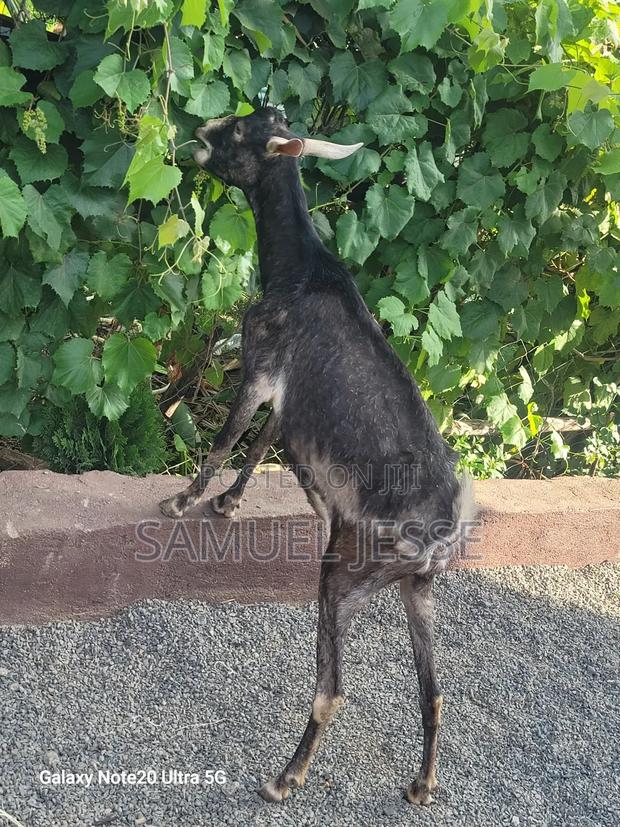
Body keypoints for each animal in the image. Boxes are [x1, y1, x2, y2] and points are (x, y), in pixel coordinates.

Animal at [159, 107, 472, 806]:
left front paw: (183, 500)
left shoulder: (259, 366)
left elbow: (226, 439)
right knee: (435, 693)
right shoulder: (290, 397)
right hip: (419, 589)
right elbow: (264, 441)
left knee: (332, 691)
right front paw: (229, 503)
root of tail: (440, 531)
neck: (299, 267)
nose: (198, 132)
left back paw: (286, 778)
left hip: (345, 575)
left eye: (240, 135)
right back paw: (421, 785)